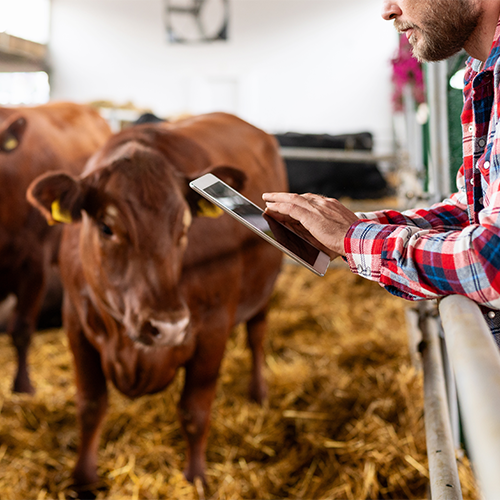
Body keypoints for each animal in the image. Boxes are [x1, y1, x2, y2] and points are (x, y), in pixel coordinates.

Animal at [27, 112, 288, 484]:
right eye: (106, 228)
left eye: (184, 227)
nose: (169, 326)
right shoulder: (75, 322)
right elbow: (90, 406)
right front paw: (84, 478)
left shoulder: (213, 329)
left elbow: (194, 413)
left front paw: (195, 479)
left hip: (263, 290)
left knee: (257, 336)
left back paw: (258, 393)